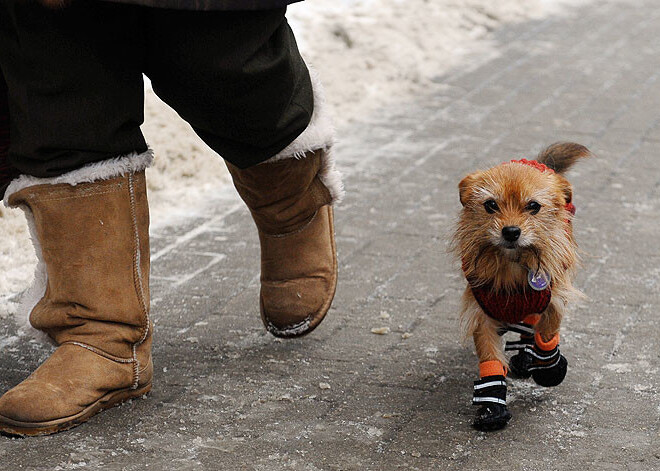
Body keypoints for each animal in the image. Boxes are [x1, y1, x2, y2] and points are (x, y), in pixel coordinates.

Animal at [454, 143, 588, 432]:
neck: (513, 264)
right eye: (491, 205)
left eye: (533, 206)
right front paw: (492, 408)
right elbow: (490, 359)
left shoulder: (552, 297)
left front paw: (549, 369)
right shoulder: (482, 313)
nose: (511, 231)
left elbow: (547, 332)